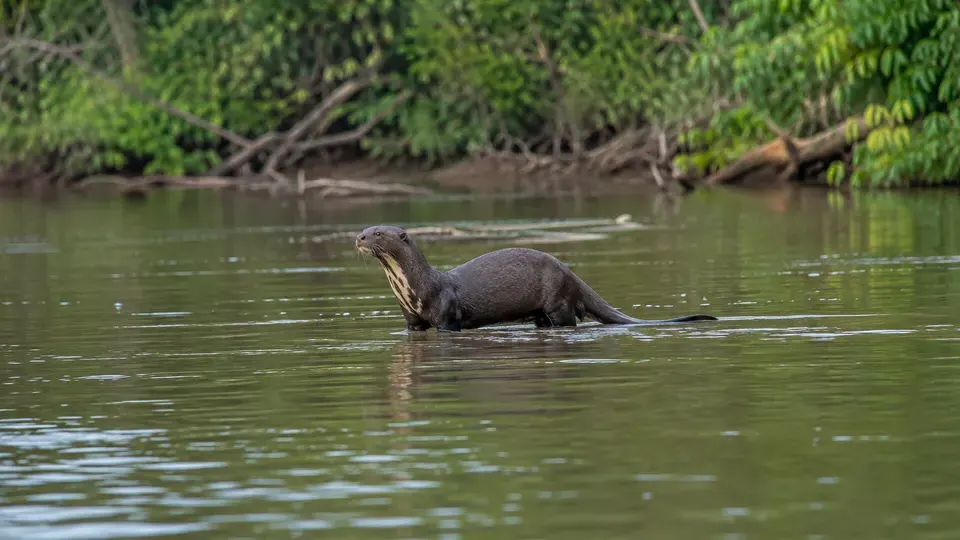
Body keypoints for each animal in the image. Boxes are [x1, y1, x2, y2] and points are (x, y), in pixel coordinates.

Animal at [355, 225, 718, 332]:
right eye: (365, 228)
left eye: (378, 233)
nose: (358, 237)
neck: (415, 289)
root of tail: (571, 273)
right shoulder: (412, 321)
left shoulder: (447, 317)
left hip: (558, 299)